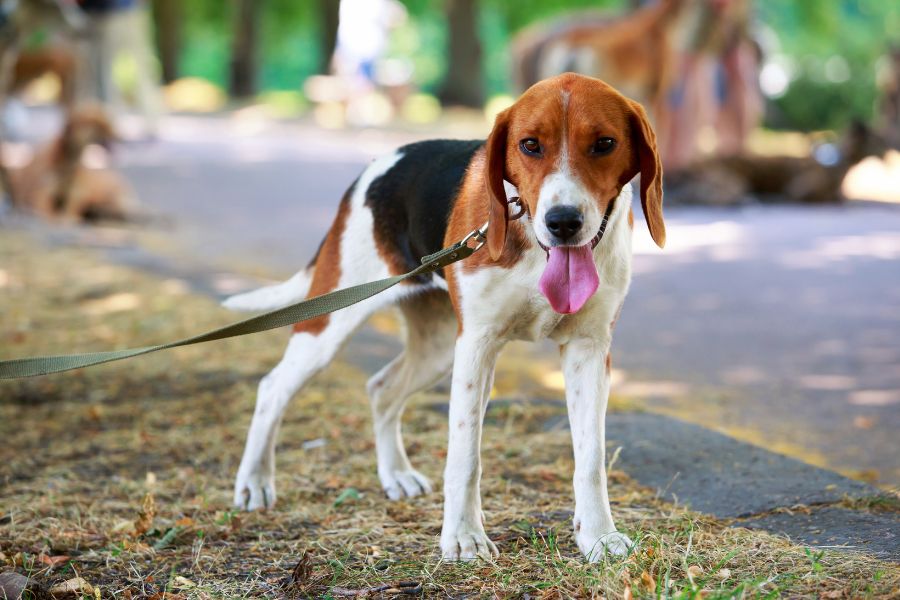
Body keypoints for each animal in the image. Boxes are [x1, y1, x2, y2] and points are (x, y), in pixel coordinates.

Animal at [8, 104, 140, 221]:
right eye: (100, 124)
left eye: (108, 122)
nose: (121, 136)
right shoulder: (41, 194)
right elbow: (51, 212)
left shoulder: (77, 195)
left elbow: (70, 211)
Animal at [221, 74, 664, 564]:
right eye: (530, 145)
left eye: (605, 143)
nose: (563, 222)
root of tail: (373, 170)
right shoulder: (477, 345)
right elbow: (465, 455)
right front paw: (464, 536)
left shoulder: (588, 349)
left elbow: (590, 459)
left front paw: (599, 537)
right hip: (333, 325)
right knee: (272, 387)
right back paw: (254, 482)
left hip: (436, 350)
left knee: (381, 388)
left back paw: (395, 474)